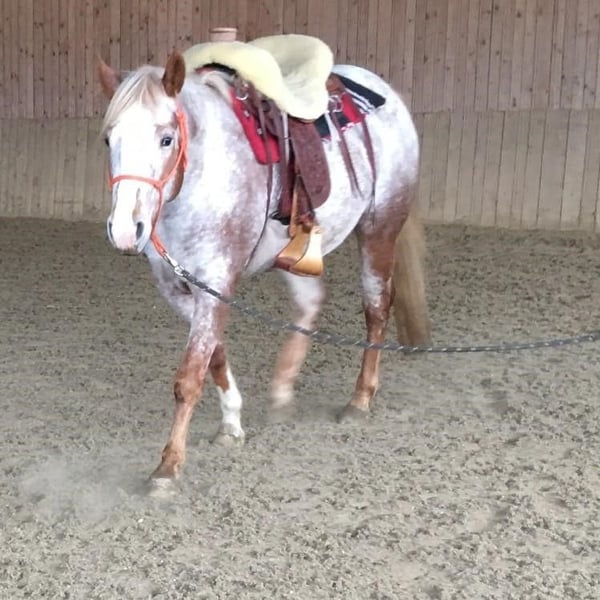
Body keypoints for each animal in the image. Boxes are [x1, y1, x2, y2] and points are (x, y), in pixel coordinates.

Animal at [97, 46, 430, 486]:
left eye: (166, 138)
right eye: (109, 139)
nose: (123, 230)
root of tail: (380, 88)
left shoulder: (215, 281)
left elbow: (189, 376)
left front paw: (168, 466)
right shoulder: (178, 287)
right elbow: (214, 355)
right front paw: (231, 424)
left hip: (380, 228)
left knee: (377, 308)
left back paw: (359, 400)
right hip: (297, 255)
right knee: (311, 304)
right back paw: (283, 391)